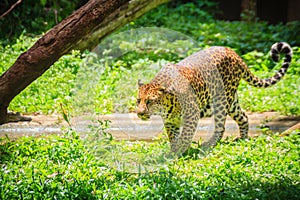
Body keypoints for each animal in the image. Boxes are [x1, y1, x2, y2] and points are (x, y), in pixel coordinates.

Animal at [136, 42, 292, 155]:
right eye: (138, 100)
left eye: (150, 101)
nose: (140, 113)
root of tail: (233, 53)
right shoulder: (169, 121)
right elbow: (173, 137)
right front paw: (173, 152)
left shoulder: (192, 113)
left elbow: (185, 135)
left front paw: (180, 151)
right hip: (232, 102)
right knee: (244, 116)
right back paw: (242, 138)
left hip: (222, 100)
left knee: (221, 127)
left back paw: (210, 144)